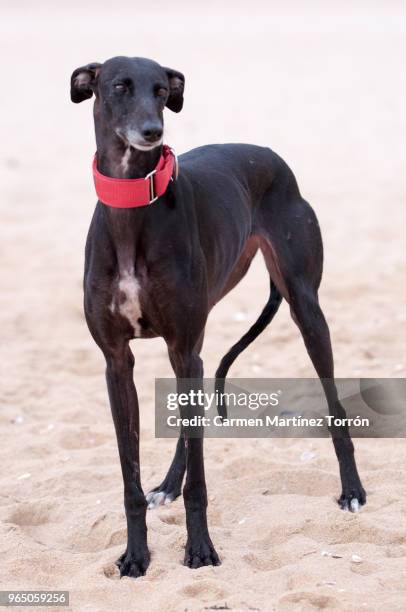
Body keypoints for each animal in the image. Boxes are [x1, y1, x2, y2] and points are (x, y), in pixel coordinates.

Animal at [71, 56, 366, 580]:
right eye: (120, 86)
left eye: (162, 90)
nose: (152, 132)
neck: (133, 210)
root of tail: (269, 155)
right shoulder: (117, 361)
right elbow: (131, 477)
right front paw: (135, 555)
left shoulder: (183, 347)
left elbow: (201, 483)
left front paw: (201, 550)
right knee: (191, 429)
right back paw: (168, 482)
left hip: (305, 306)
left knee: (333, 401)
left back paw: (351, 489)